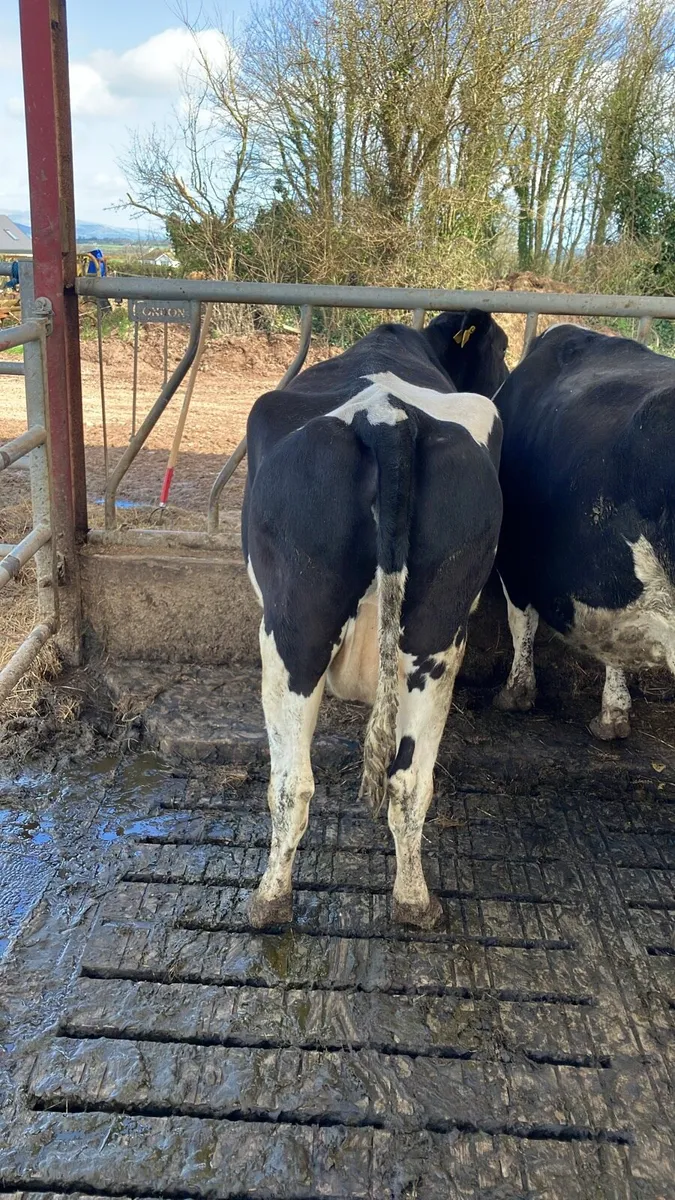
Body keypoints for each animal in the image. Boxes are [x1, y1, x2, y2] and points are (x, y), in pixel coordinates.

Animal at [242, 309, 508, 930]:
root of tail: (386, 416)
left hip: (294, 630)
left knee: (291, 782)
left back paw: (270, 898)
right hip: (435, 635)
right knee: (409, 781)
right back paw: (413, 900)